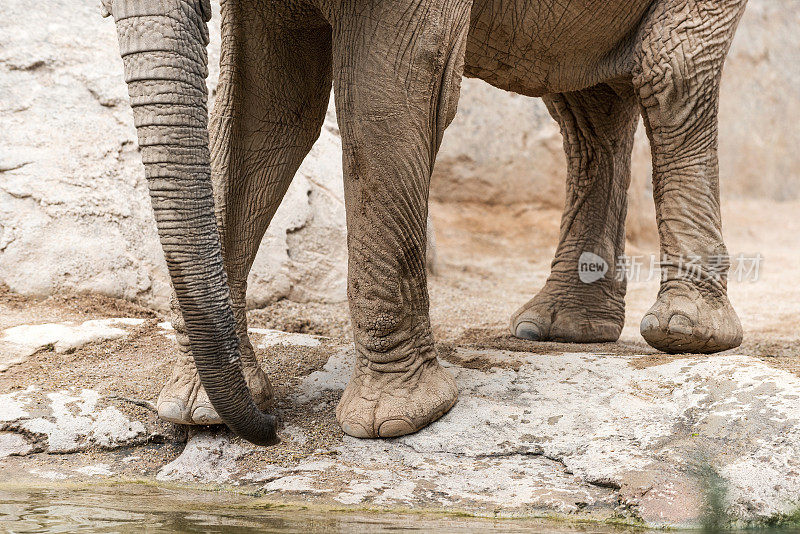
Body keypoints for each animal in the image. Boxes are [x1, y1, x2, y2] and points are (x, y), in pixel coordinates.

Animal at [101, 0, 752, 448]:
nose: (269, 428)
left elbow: (381, 100)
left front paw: (395, 421)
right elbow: (265, 108)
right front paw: (196, 412)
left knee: (670, 72)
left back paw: (685, 332)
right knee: (586, 102)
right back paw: (559, 328)